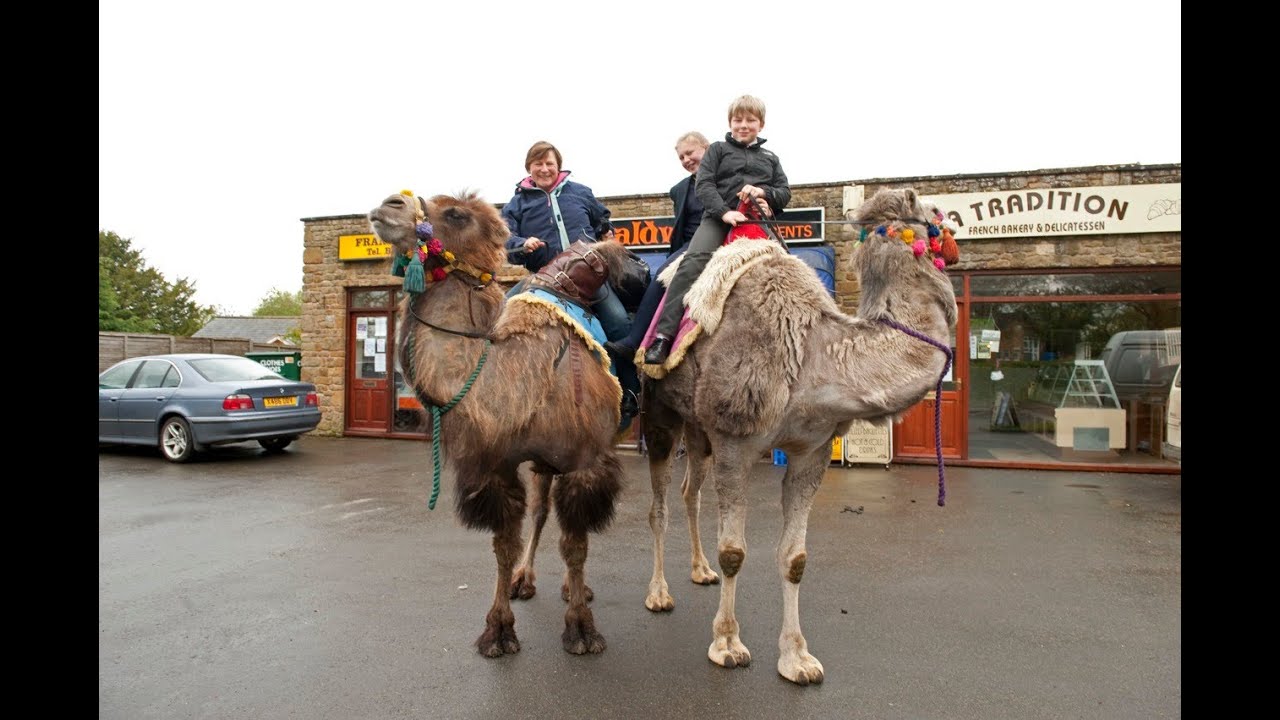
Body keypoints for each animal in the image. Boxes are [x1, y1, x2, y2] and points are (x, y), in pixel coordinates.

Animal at [368, 189, 645, 657]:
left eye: (456, 214)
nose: (387, 205)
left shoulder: (585, 461)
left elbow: (576, 546)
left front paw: (582, 630)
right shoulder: (498, 466)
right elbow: (504, 545)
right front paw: (498, 629)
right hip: (543, 463)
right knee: (540, 513)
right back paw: (527, 580)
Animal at [638, 187, 959, 685]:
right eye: (936, 213)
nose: (957, 238)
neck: (814, 355)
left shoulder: (812, 450)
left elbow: (795, 559)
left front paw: (797, 659)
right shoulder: (736, 440)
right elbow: (734, 551)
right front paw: (727, 645)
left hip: (698, 425)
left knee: (691, 491)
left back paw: (700, 570)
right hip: (660, 411)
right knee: (659, 506)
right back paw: (659, 594)